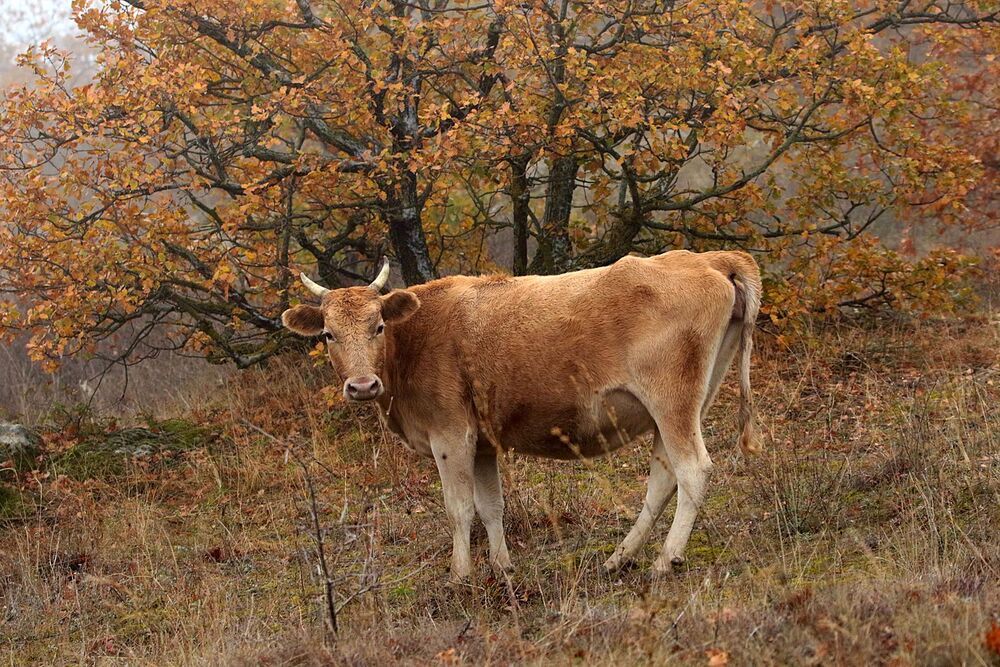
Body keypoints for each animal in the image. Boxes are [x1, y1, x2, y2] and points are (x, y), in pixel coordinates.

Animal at [281, 250, 762, 581]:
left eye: (378, 326)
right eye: (329, 334)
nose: (362, 386)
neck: (415, 338)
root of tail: (708, 258)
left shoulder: (450, 434)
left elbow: (459, 507)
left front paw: (460, 575)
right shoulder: (482, 443)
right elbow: (491, 506)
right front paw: (502, 566)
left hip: (672, 401)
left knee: (692, 469)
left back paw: (664, 560)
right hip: (683, 403)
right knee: (664, 478)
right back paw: (617, 559)